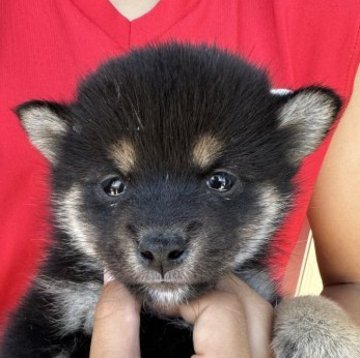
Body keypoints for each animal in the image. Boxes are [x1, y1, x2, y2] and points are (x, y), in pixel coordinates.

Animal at [3, 43, 360, 356]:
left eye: (220, 181)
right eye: (113, 185)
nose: (161, 250)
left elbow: (302, 300)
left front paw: (330, 337)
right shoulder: (54, 309)